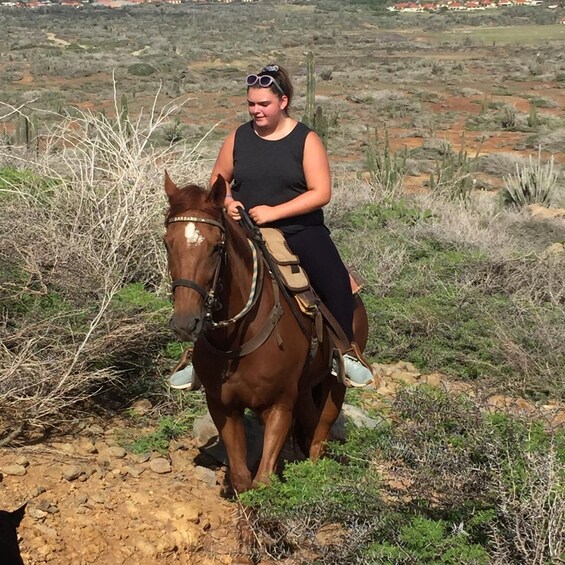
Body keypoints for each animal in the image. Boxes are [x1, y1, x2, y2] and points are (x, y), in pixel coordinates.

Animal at [162, 173, 370, 494]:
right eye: (167, 243)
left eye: (217, 247)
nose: (185, 323)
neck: (236, 340)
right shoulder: (223, 407)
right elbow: (241, 478)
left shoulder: (279, 406)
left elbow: (263, 482)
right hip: (304, 390)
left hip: (335, 385)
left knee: (319, 437)